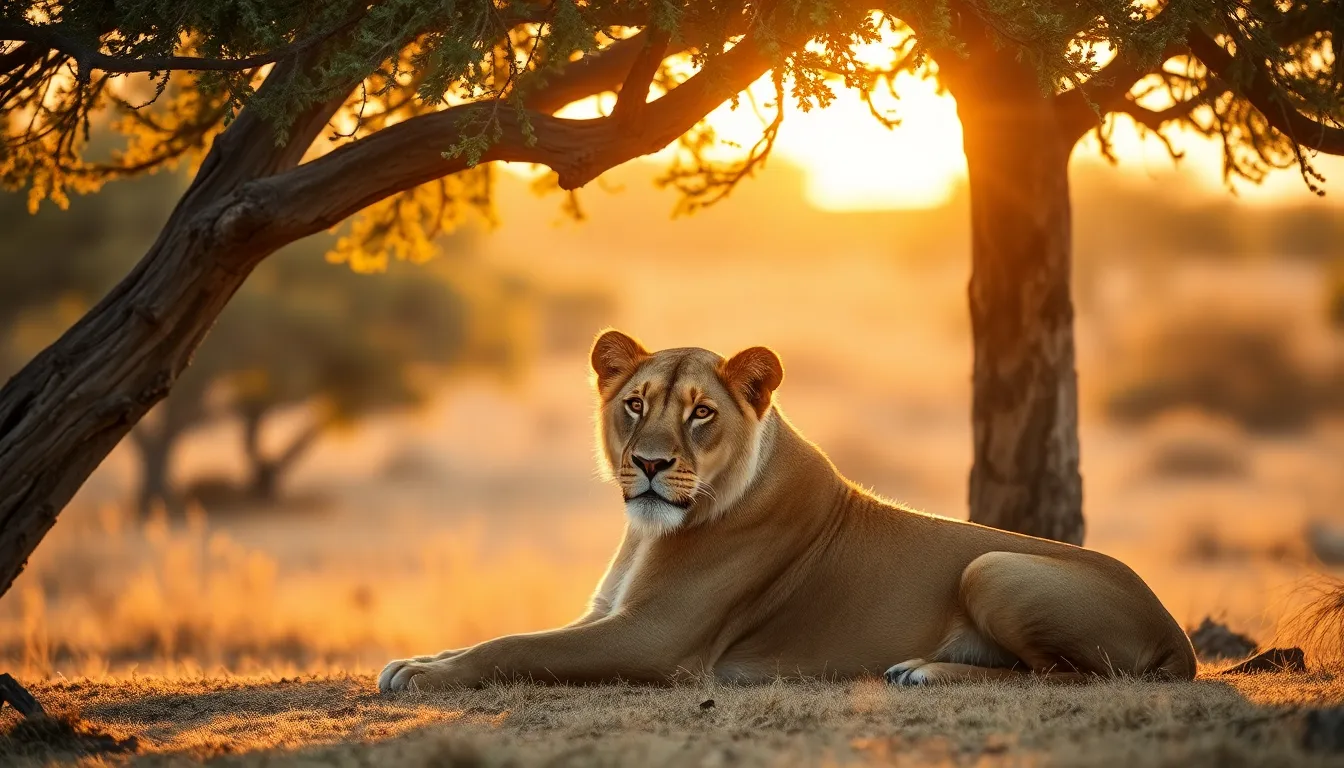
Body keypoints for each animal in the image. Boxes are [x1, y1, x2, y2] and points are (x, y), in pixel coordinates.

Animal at [378, 330, 1196, 692]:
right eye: (635, 404)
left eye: (701, 413)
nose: (649, 464)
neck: (646, 535)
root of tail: (1177, 633)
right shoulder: (605, 613)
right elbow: (501, 635)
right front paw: (416, 661)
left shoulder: (657, 641)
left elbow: (516, 646)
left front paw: (425, 676)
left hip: (993, 565)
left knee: (1066, 676)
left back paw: (923, 672)